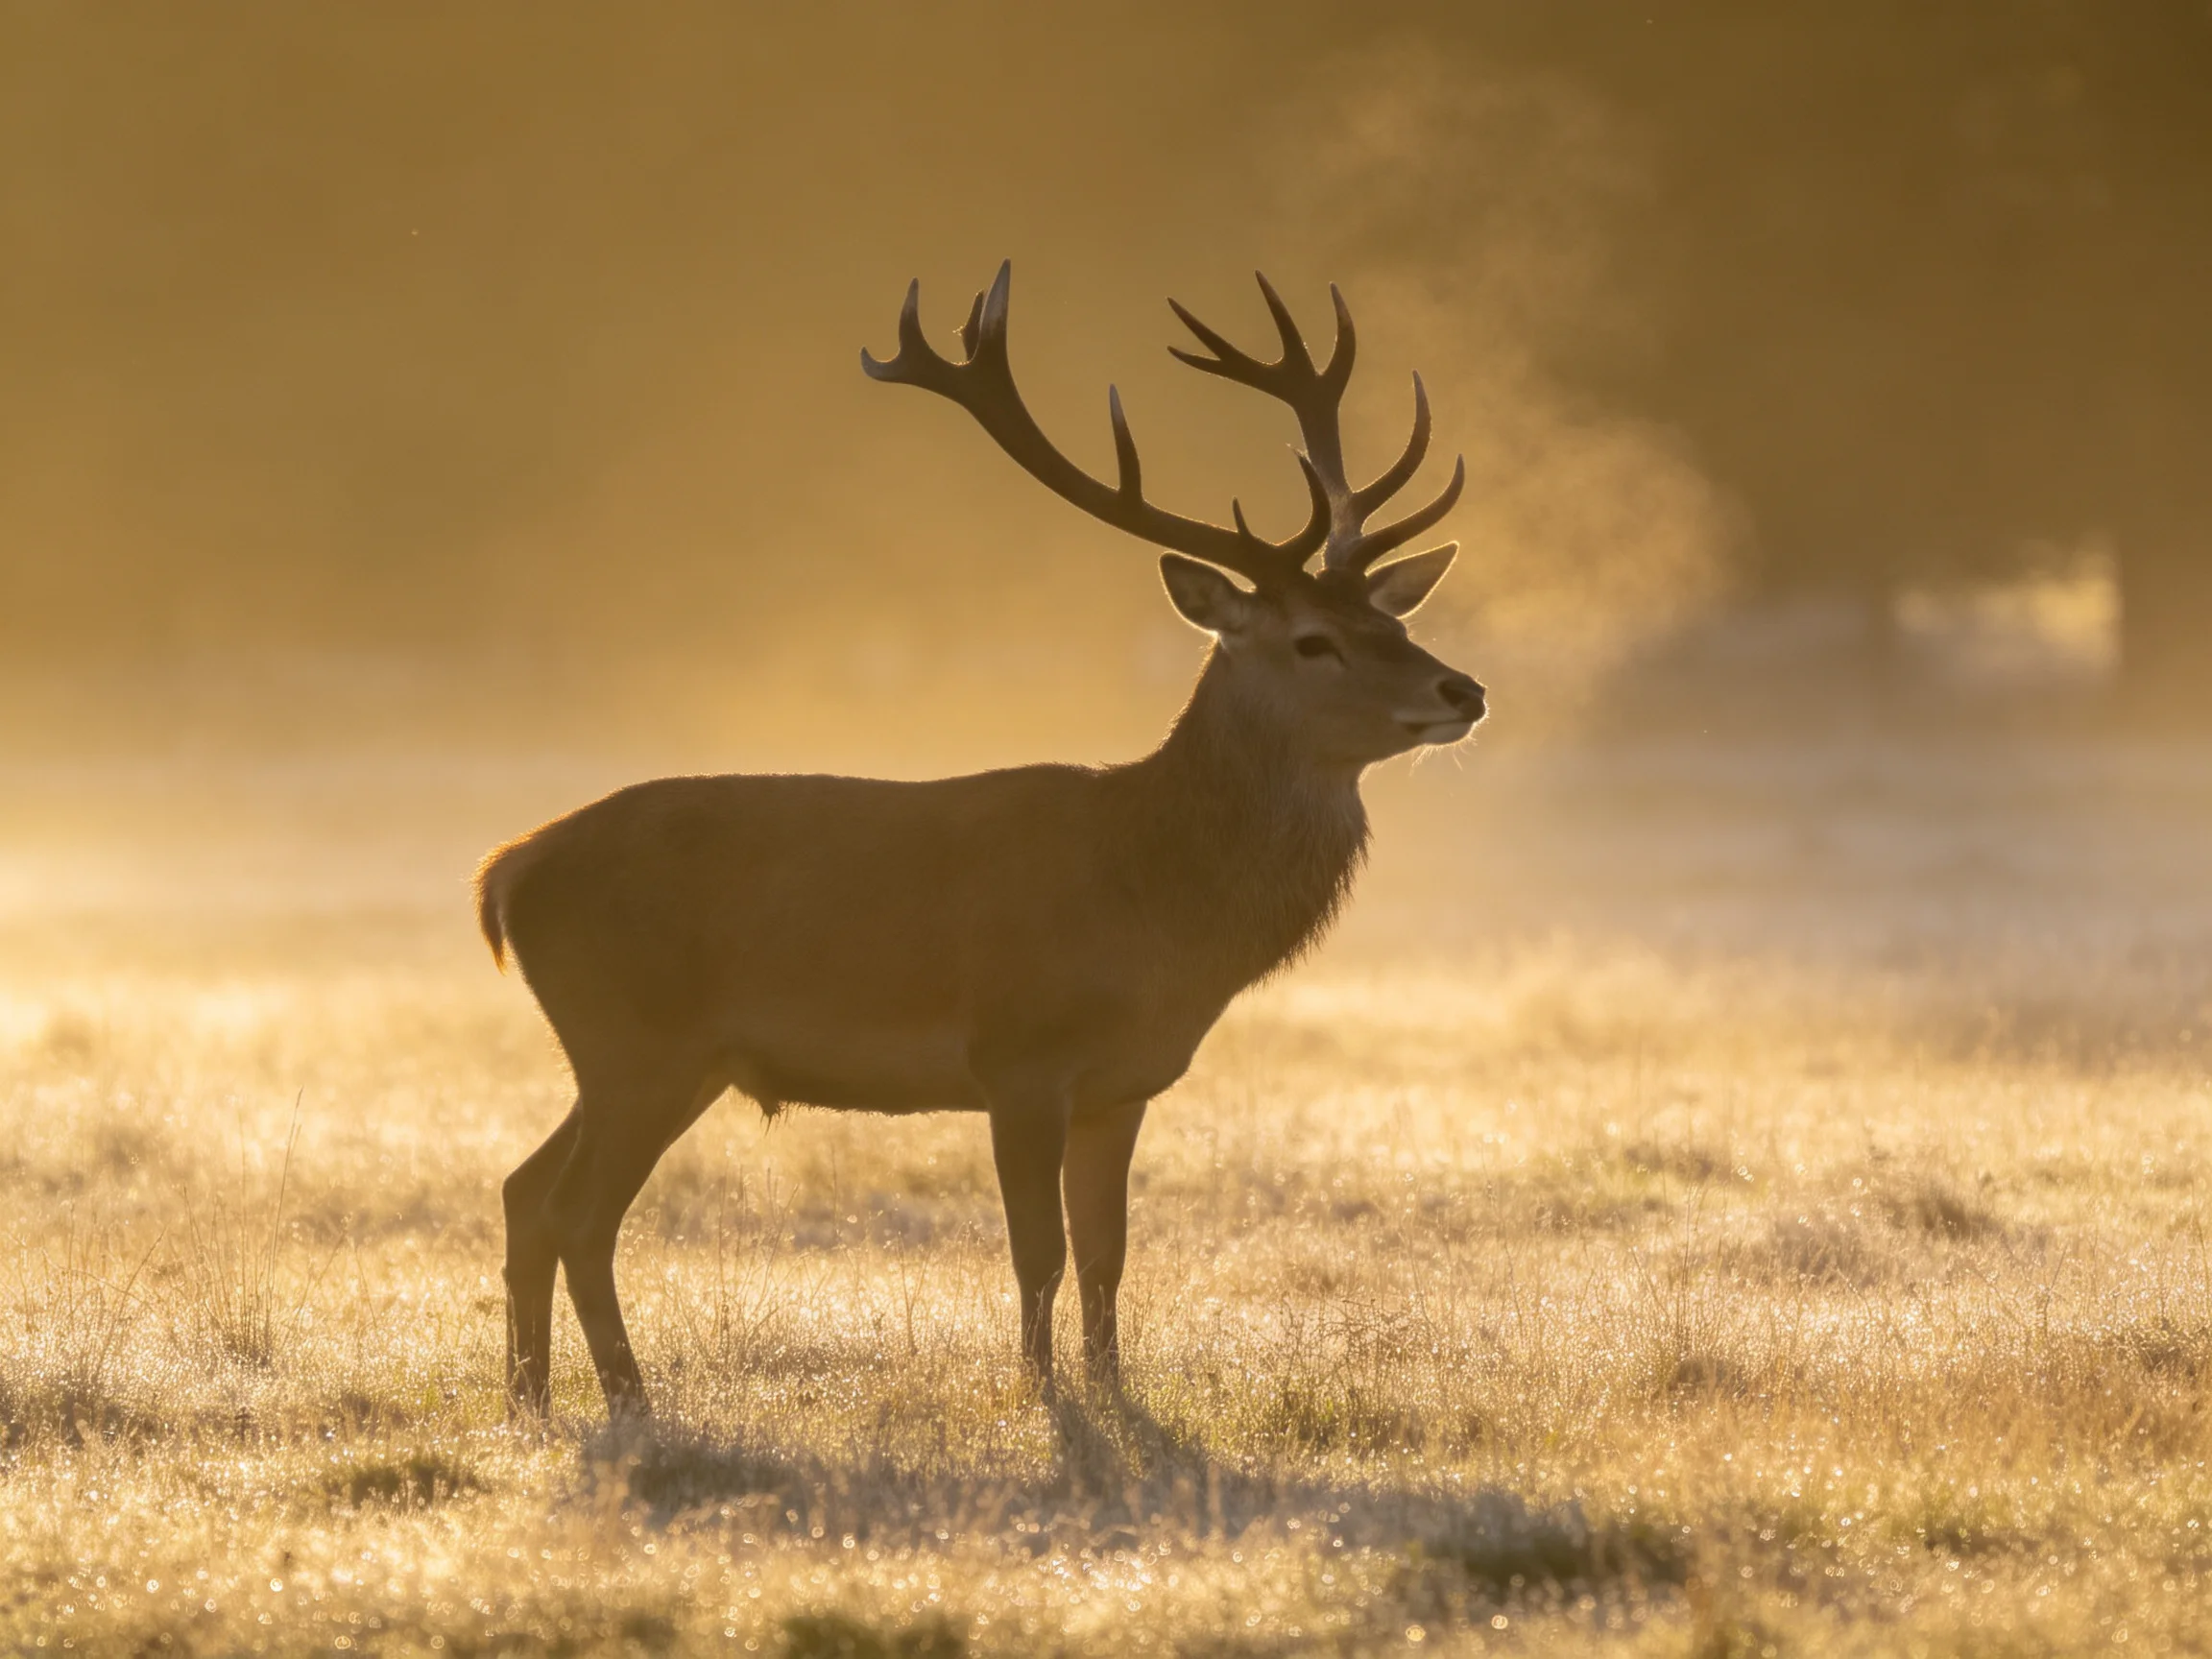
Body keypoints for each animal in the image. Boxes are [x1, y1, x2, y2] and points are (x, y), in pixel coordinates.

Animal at [478, 262, 1485, 1418]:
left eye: (1396, 623)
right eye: (1314, 641)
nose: (1463, 691)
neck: (1156, 908)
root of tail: (504, 875)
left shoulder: (1123, 1086)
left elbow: (1107, 1254)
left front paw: (1112, 1389)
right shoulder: (1018, 1055)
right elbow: (1036, 1251)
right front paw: (1044, 1398)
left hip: (657, 1059)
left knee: (522, 1190)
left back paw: (529, 1398)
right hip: (635, 1041)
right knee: (577, 1212)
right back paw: (630, 1402)